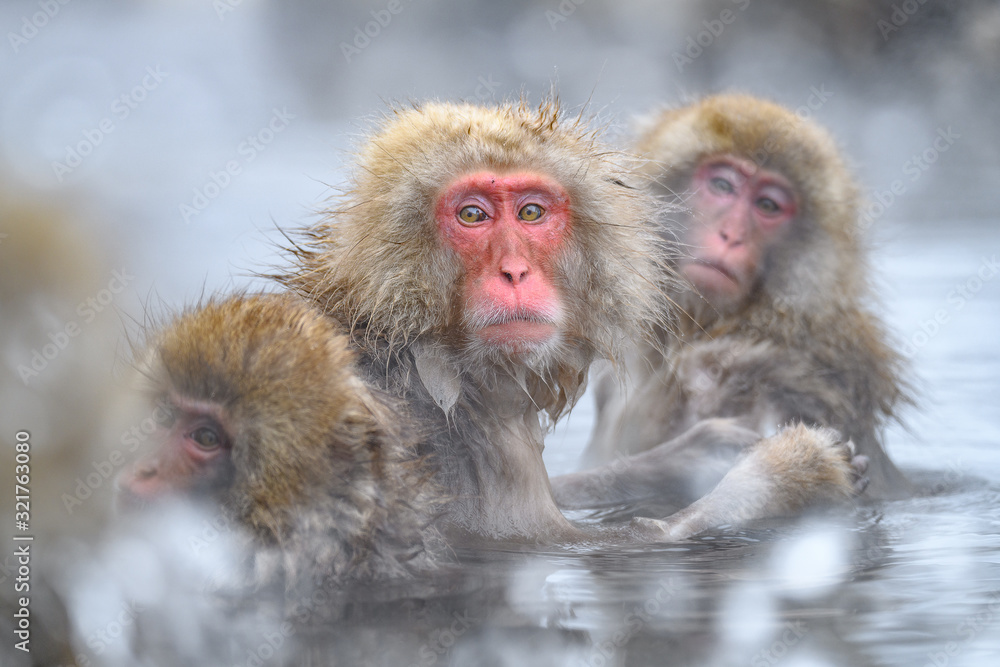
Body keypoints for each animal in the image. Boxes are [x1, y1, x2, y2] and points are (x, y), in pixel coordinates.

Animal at [278, 99, 865, 545]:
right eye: (472, 215)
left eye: (531, 213)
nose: (514, 270)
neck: (409, 343)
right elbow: (605, 541)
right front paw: (794, 472)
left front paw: (691, 454)